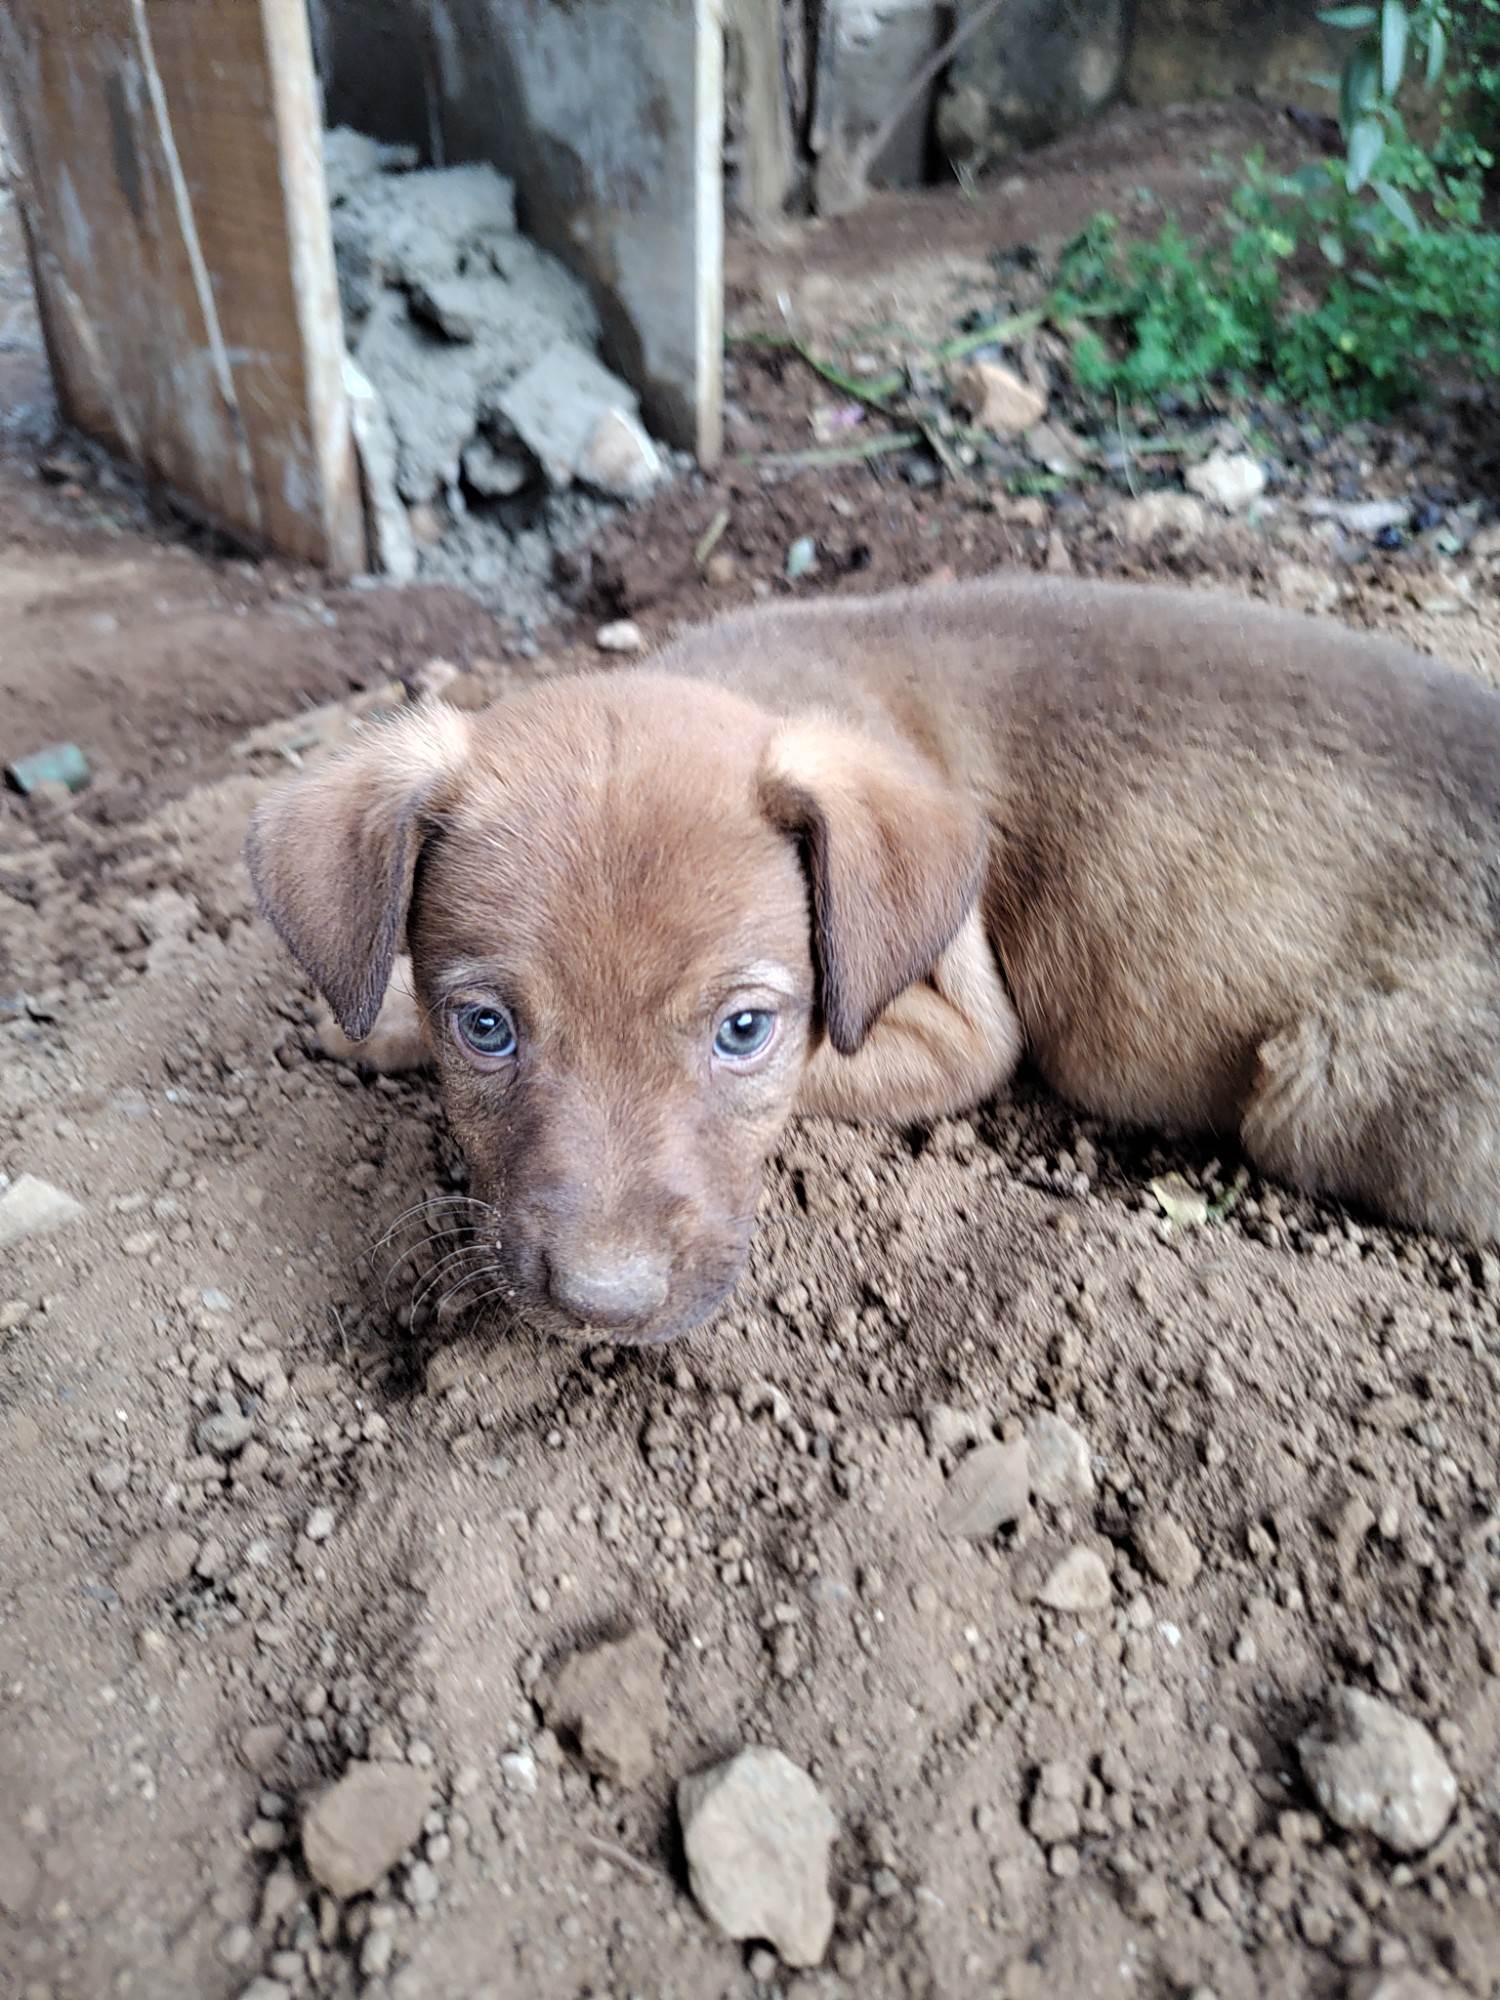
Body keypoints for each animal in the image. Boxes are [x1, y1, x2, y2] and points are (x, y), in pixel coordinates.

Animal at [246, 574, 1500, 1344]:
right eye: (486, 1027)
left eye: (744, 1030)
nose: (603, 1305)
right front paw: (376, 1019)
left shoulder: (964, 1032)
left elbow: (826, 1068)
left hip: (1325, 1095)